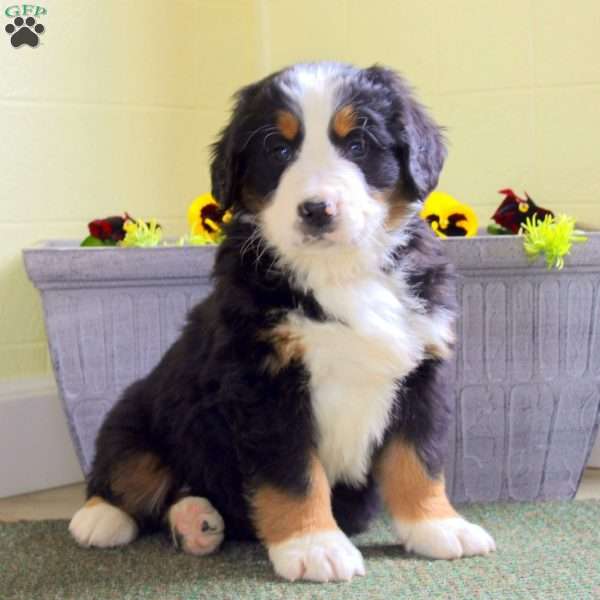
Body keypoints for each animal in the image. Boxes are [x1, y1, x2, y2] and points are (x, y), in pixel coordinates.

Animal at [68, 61, 494, 580]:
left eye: (358, 145)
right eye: (278, 149)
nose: (316, 209)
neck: (341, 273)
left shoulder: (420, 372)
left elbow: (419, 460)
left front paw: (437, 526)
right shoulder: (265, 383)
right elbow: (295, 474)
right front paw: (315, 546)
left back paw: (196, 521)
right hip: (137, 410)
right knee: (128, 470)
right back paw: (101, 517)